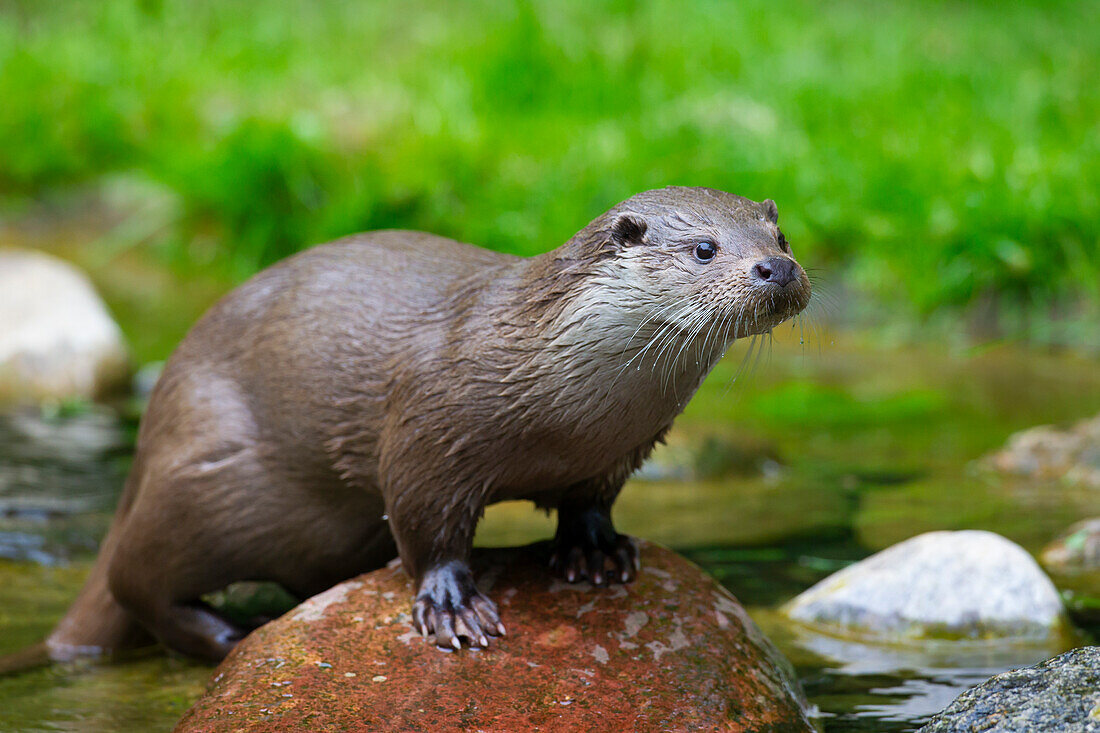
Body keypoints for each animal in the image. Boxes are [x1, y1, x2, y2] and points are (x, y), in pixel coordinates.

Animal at [42, 183, 809, 655]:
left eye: (783, 235)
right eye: (705, 248)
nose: (775, 269)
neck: (573, 416)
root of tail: (153, 426)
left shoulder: (620, 451)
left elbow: (591, 502)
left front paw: (594, 550)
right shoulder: (429, 430)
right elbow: (424, 522)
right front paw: (452, 605)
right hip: (210, 478)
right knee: (135, 576)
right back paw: (227, 632)